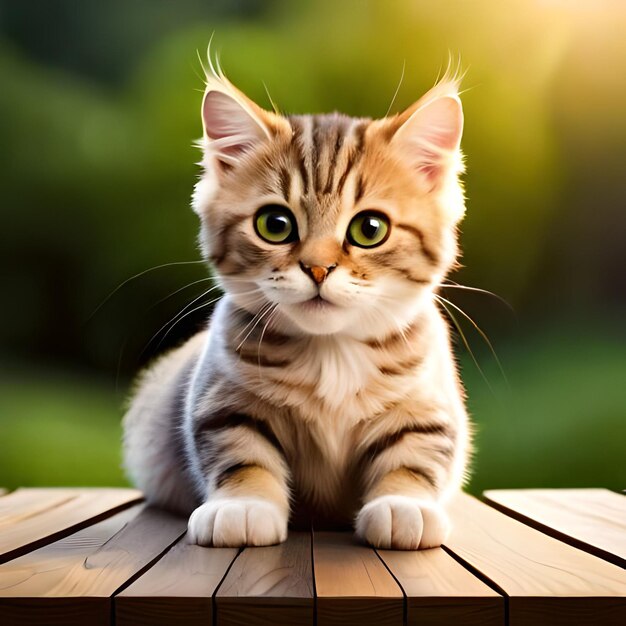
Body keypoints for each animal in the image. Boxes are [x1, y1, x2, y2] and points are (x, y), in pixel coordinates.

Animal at [123, 61, 468, 544]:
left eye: (370, 229)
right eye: (275, 224)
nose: (318, 269)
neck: (332, 352)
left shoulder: (426, 407)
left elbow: (414, 456)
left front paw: (404, 505)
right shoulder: (223, 401)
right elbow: (242, 453)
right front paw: (244, 505)